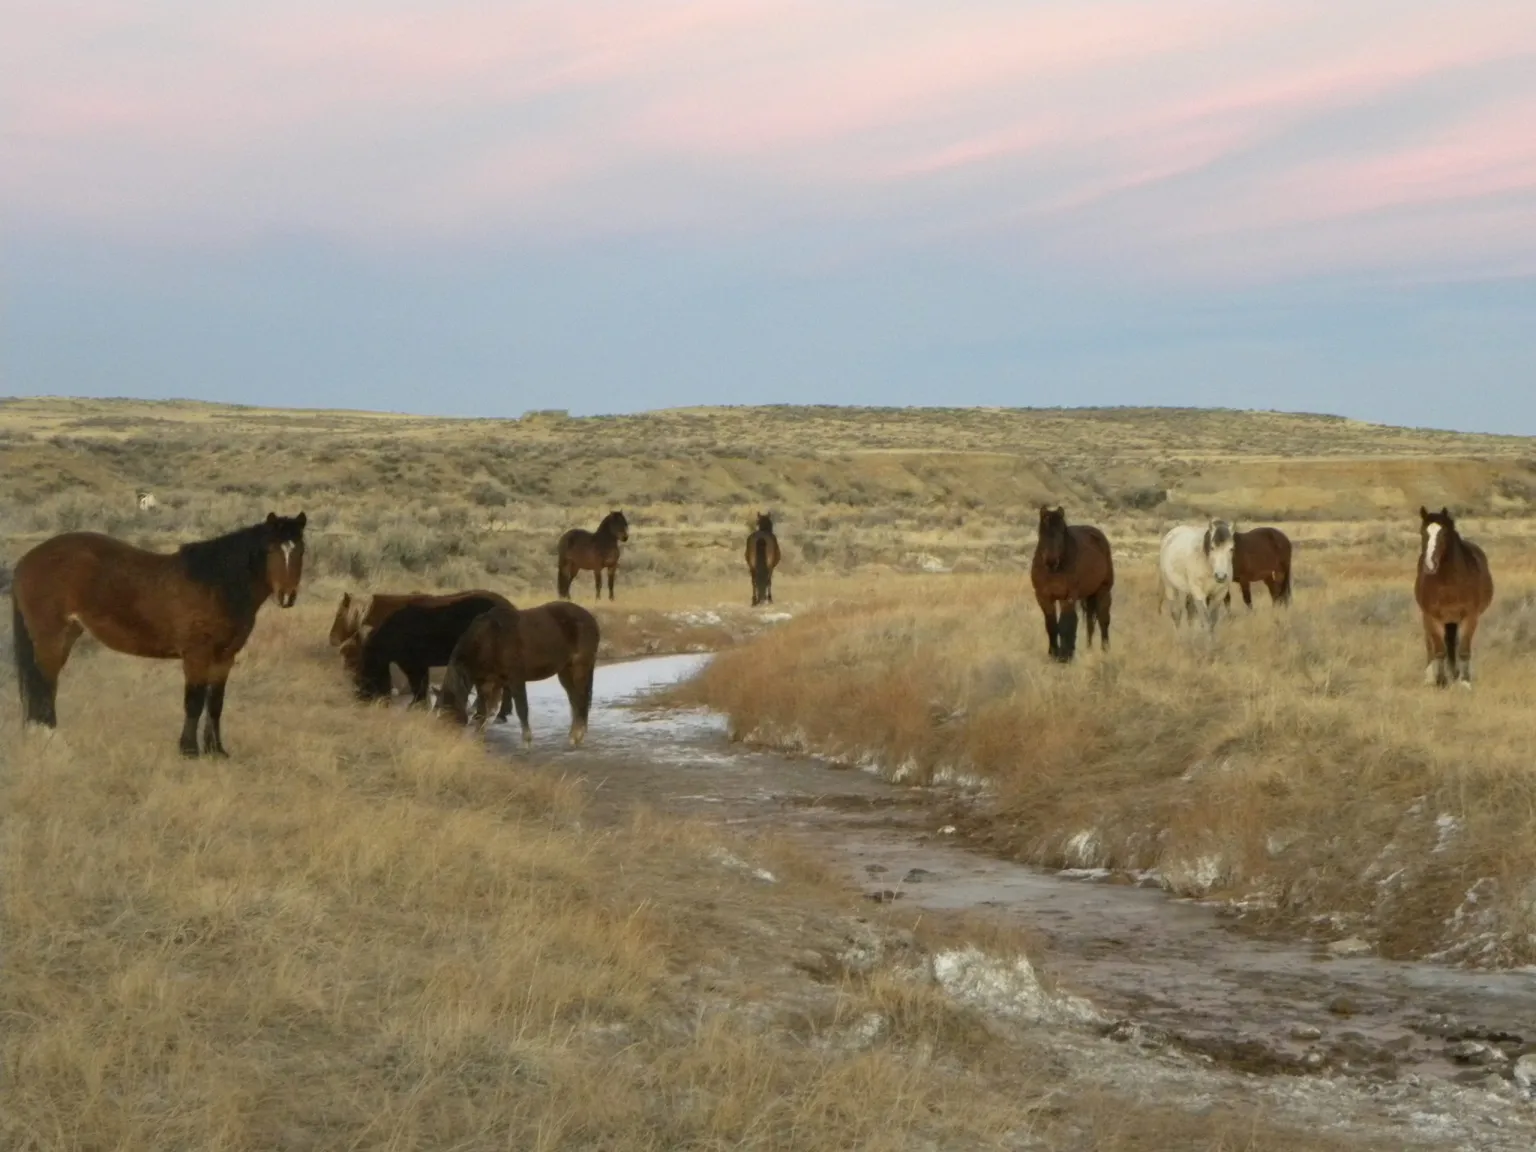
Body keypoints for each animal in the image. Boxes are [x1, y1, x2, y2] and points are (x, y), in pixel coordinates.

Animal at [11, 512, 307, 756]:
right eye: (271, 549)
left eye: (302, 550)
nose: (287, 596)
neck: (216, 584)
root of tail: (26, 561)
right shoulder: (196, 656)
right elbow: (194, 701)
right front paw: (189, 750)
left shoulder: (225, 657)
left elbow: (215, 704)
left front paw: (216, 750)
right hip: (51, 638)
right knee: (43, 683)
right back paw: (51, 740)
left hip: (67, 634)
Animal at [351, 594, 508, 715]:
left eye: (365, 673)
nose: (360, 697)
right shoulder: (420, 664)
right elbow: (422, 684)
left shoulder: (412, 664)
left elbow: (418, 685)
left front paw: (417, 706)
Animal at [436, 601, 601, 746]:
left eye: (447, 713)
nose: (444, 742)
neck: (491, 639)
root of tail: (590, 618)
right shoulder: (486, 683)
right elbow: (482, 711)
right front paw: (478, 737)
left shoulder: (515, 679)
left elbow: (522, 708)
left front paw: (526, 741)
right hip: (565, 671)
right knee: (574, 700)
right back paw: (574, 734)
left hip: (579, 667)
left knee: (580, 699)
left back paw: (577, 736)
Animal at [1029, 505, 1114, 663]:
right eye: (1041, 531)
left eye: (1062, 531)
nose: (1051, 561)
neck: (1054, 571)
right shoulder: (1043, 597)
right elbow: (1051, 625)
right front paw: (1053, 653)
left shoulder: (1067, 596)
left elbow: (1065, 624)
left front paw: (1064, 656)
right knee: (1089, 623)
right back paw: (1087, 648)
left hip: (1103, 591)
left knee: (1103, 620)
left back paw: (1105, 650)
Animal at [1414, 506, 1494, 689]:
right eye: (1422, 532)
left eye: (1443, 533)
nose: (1430, 565)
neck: (1449, 583)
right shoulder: (1432, 617)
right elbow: (1439, 650)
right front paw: (1441, 682)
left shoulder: (1470, 617)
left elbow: (1463, 650)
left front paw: (1464, 682)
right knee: (1431, 644)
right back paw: (1431, 676)